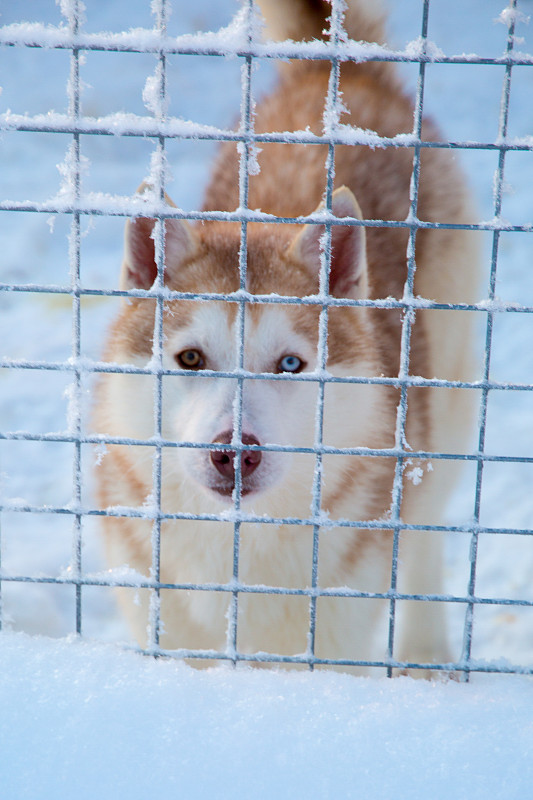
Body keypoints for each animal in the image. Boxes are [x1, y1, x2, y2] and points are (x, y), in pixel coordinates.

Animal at [93, 0, 480, 676]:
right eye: (189, 357)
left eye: (291, 364)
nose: (234, 453)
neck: (242, 554)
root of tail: (334, 75)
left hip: (447, 414)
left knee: (425, 532)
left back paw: (424, 655)